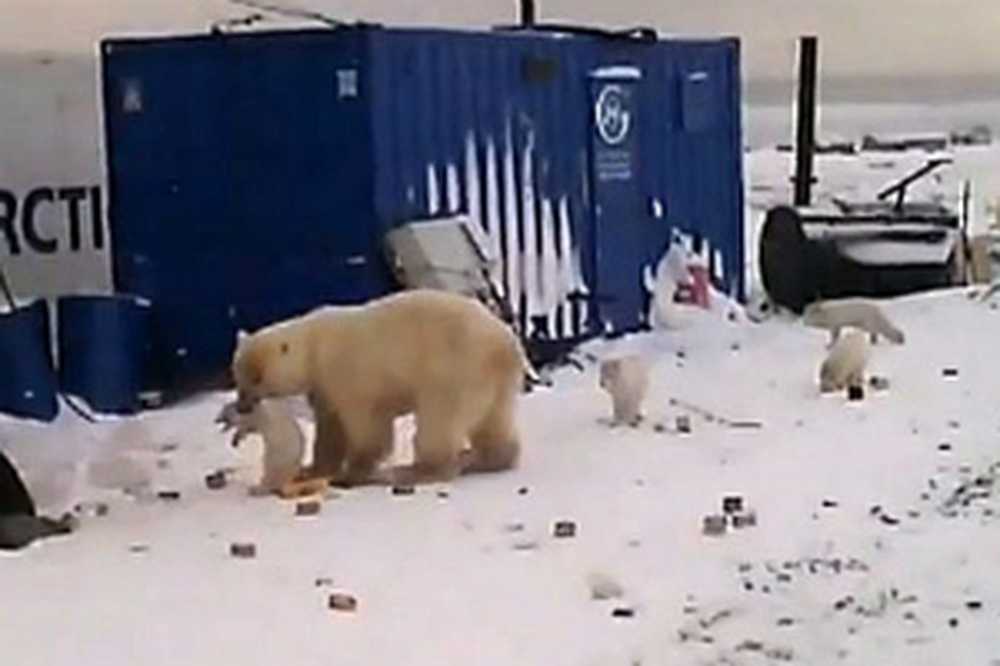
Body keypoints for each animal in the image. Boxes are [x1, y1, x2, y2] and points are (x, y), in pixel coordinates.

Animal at [232, 288, 532, 486]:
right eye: (238, 375)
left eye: (257, 377)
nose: (242, 404)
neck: (315, 344)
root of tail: (507, 347)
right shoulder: (324, 385)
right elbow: (330, 427)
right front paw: (312, 469)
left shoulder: (348, 371)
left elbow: (367, 426)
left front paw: (351, 473)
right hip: (494, 382)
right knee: (493, 421)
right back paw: (485, 460)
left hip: (456, 370)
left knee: (438, 422)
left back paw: (417, 471)